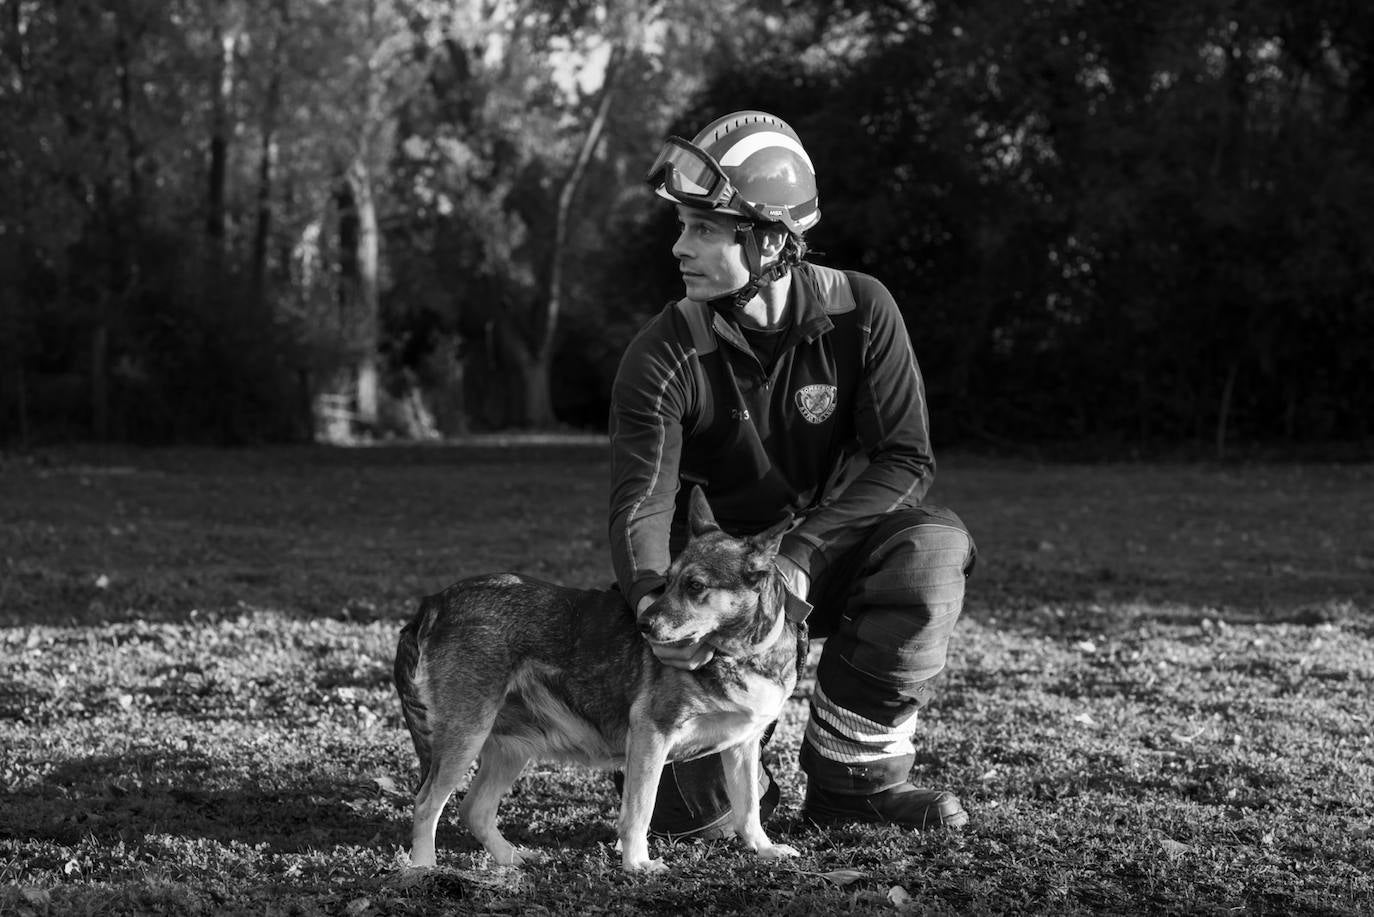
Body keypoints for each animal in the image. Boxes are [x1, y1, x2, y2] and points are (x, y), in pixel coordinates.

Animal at [392, 483, 802, 874]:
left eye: (695, 586)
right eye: (666, 581)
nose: (642, 624)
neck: (738, 653)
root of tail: (435, 601)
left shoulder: (742, 747)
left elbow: (748, 809)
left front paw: (764, 849)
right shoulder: (652, 735)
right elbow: (639, 810)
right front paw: (637, 863)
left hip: (511, 746)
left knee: (474, 809)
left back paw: (511, 858)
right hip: (466, 735)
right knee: (426, 804)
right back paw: (425, 868)